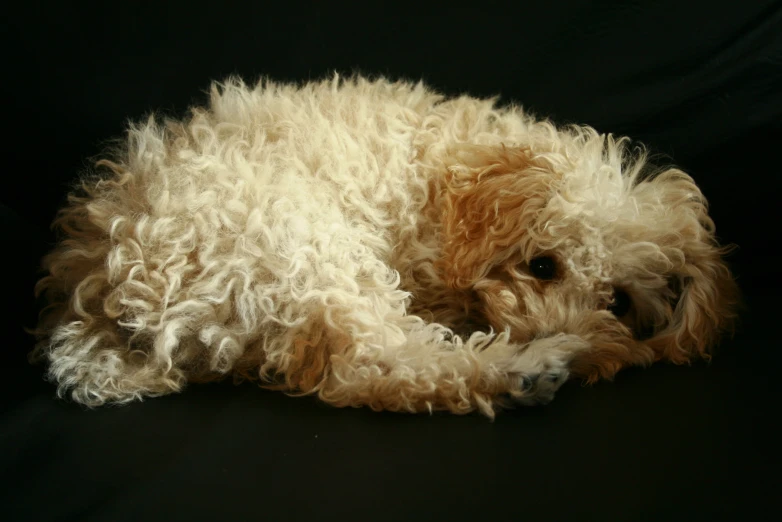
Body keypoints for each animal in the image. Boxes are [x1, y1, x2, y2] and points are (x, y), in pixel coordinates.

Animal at [32, 74, 740, 414]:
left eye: (618, 302)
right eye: (543, 264)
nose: (575, 340)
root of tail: (100, 294)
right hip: (304, 246)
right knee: (369, 367)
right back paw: (521, 372)